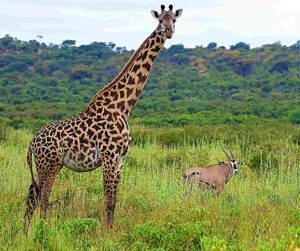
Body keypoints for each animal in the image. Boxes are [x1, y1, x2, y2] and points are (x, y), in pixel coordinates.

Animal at [23, 4, 183, 233]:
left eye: (174, 20)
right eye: (160, 20)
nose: (168, 32)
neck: (124, 107)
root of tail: (31, 143)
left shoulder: (121, 158)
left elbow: (113, 200)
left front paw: (110, 230)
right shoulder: (108, 156)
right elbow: (107, 199)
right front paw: (104, 233)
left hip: (47, 165)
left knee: (32, 196)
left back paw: (25, 233)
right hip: (49, 164)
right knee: (43, 198)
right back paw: (42, 231)